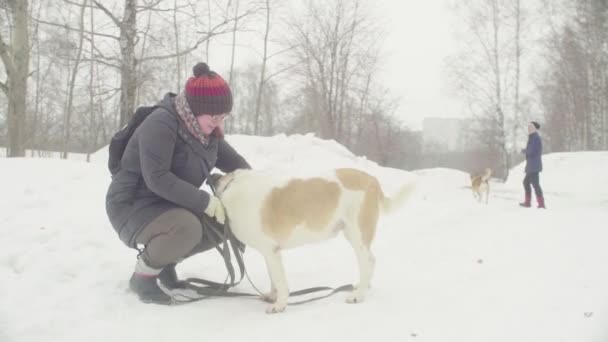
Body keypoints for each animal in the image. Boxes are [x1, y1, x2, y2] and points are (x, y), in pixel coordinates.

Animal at [211, 167, 416, 314]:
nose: (212, 176)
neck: (233, 186)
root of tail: (372, 180)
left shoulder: (271, 251)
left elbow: (280, 281)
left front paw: (280, 304)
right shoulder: (270, 253)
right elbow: (273, 279)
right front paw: (272, 296)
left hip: (357, 233)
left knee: (368, 261)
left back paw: (358, 295)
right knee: (370, 260)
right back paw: (362, 286)